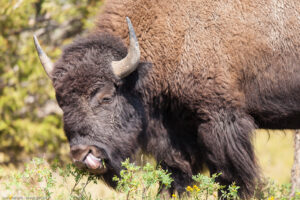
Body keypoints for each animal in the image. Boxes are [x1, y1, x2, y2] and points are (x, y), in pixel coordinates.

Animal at [32, 0, 300, 198]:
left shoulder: (220, 121)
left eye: (106, 96)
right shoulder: (173, 134)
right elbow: (174, 176)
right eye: (61, 102)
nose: (82, 154)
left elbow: (231, 178)